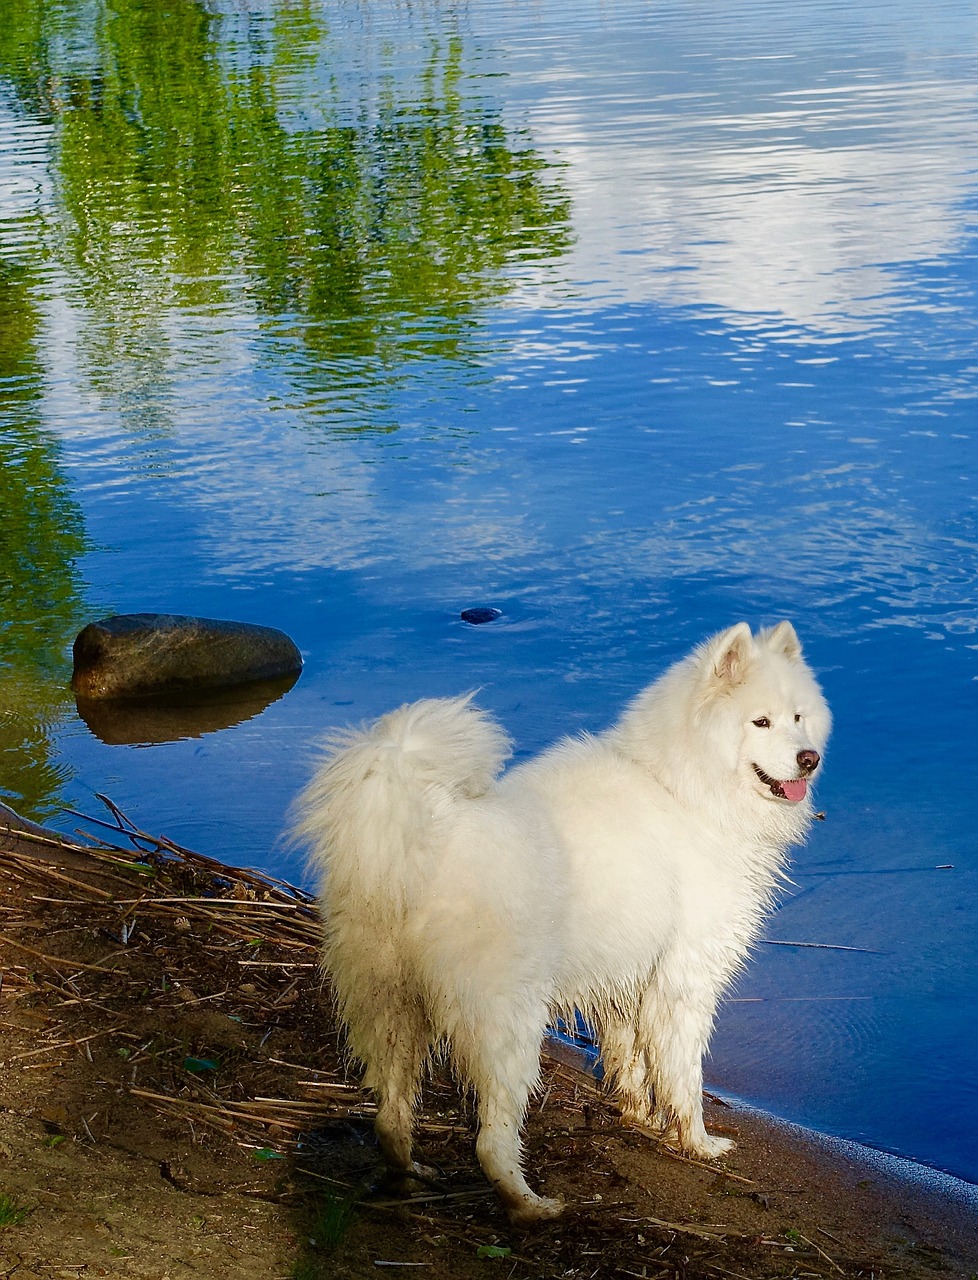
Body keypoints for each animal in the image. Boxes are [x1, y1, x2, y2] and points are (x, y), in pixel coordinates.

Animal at [294, 624, 829, 1223]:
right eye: (760, 722)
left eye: (799, 717)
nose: (808, 759)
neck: (681, 785)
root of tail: (426, 832)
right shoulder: (685, 977)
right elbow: (683, 1075)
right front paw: (697, 1142)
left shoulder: (628, 977)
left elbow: (629, 1060)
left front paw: (639, 1117)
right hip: (507, 1022)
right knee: (491, 1141)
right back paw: (531, 1205)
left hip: (390, 1004)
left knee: (389, 1114)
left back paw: (413, 1171)